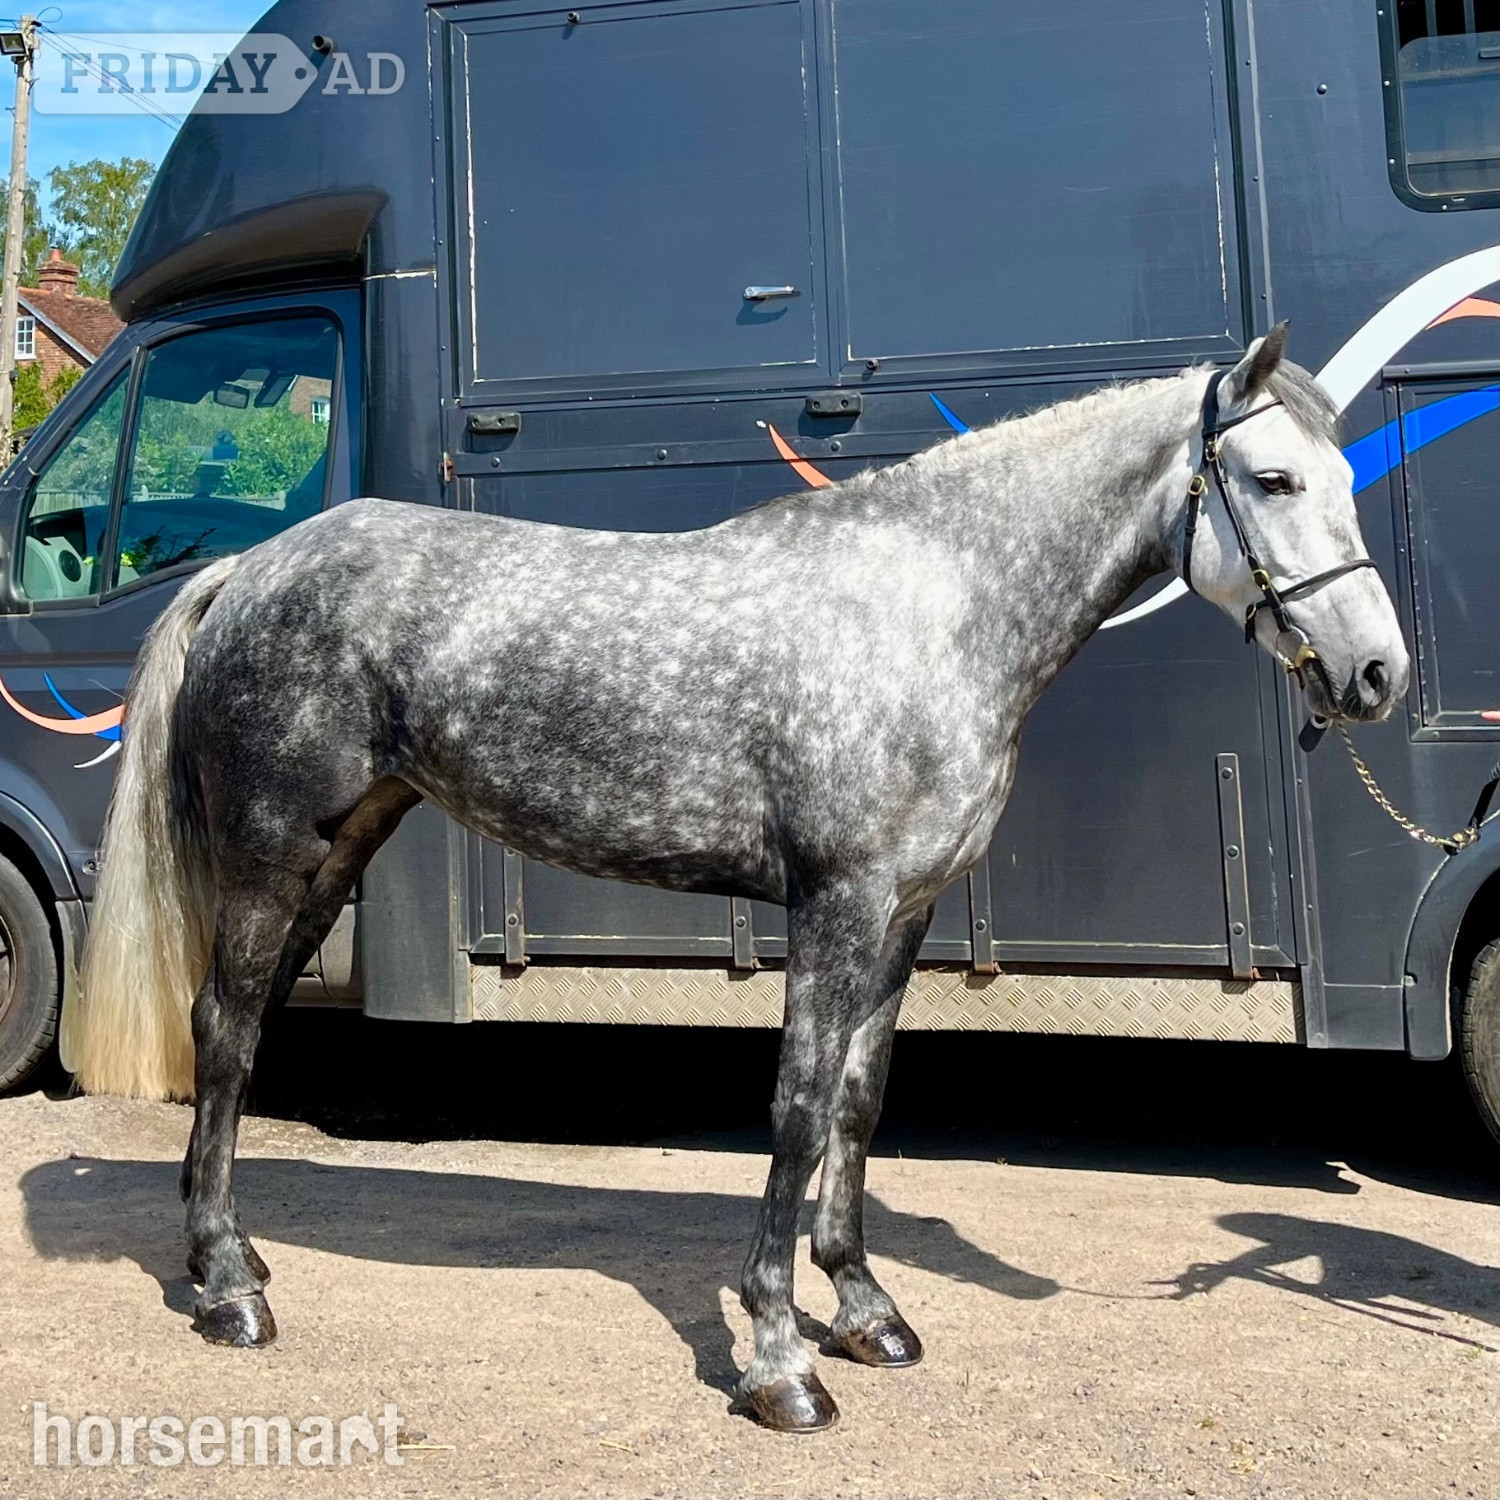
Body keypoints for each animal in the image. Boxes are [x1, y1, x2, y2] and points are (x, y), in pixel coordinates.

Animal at [74, 325, 1407, 1432]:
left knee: (244, 1030)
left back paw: (235, 1262)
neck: (931, 610)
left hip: (337, 853)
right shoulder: (835, 907)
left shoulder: (903, 916)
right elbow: (798, 1112)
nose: (1378, 673)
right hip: (271, 854)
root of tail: (248, 569)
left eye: (1344, 480)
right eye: (1274, 481)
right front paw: (780, 1363)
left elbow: (860, 1106)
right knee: (224, 1029)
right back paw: (228, 1292)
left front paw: (867, 1314)